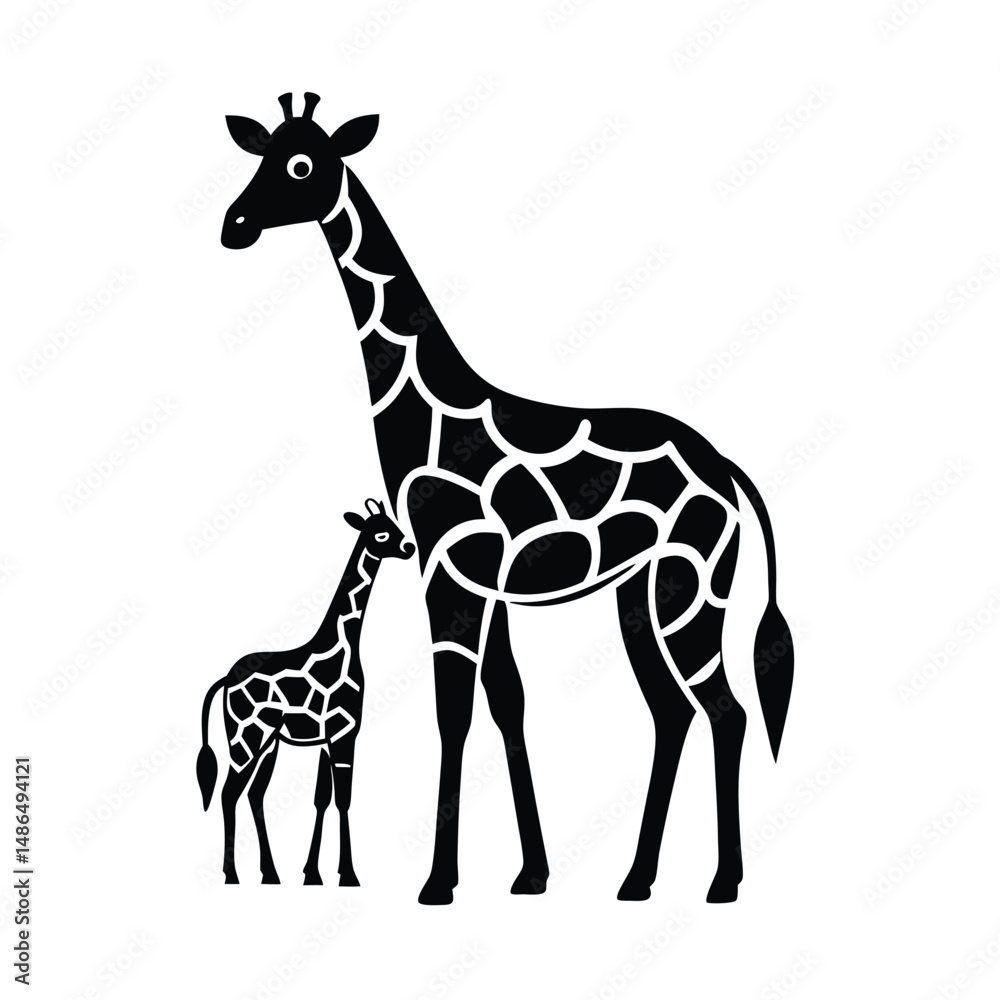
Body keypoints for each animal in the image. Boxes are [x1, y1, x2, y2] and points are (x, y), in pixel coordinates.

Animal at [196, 498, 415, 885]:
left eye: (397, 525)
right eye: (381, 533)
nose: (409, 547)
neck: (344, 649)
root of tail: (225, 679)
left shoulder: (327, 739)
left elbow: (322, 799)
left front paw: (313, 873)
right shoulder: (343, 734)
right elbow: (343, 798)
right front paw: (348, 874)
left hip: (268, 742)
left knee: (254, 794)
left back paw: (270, 874)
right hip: (245, 738)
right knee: (228, 792)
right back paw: (232, 874)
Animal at [219, 94, 795, 905]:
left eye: (301, 165)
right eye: (261, 154)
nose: (234, 224)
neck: (431, 409)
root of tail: (729, 469)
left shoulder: (444, 571)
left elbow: (453, 710)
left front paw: (438, 880)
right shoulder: (481, 582)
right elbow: (506, 703)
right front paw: (531, 873)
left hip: (691, 585)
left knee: (727, 710)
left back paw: (722, 882)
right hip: (639, 591)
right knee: (672, 711)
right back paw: (636, 879)